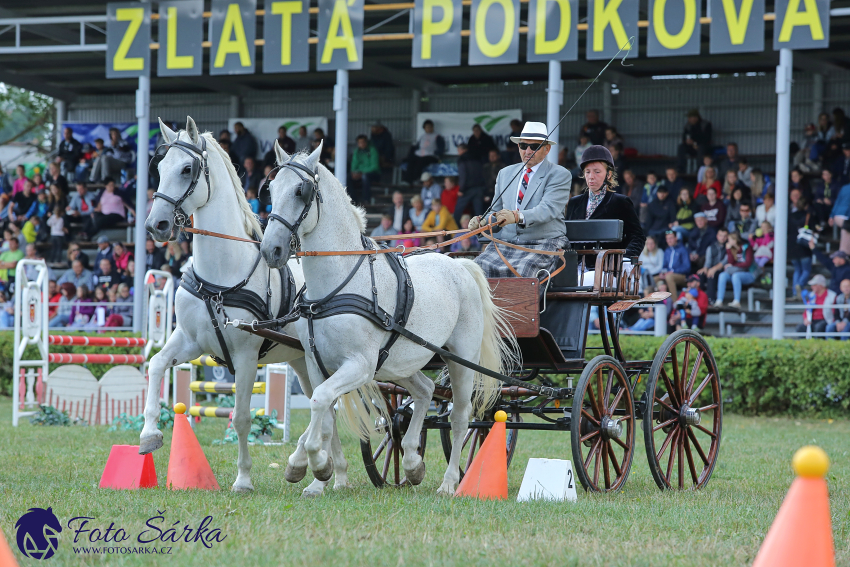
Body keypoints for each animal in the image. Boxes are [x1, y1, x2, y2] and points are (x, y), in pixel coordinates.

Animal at [142, 116, 352, 496]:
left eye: (186, 168)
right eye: (160, 168)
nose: (157, 225)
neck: (221, 278)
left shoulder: (245, 357)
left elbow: (240, 418)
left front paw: (243, 479)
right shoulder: (189, 341)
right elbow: (156, 364)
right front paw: (149, 433)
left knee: (327, 406)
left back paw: (315, 468)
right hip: (304, 362)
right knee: (326, 406)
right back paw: (331, 475)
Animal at [258, 143, 516, 496]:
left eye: (301, 191)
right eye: (270, 189)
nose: (271, 250)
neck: (338, 286)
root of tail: (460, 264)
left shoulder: (360, 365)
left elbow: (320, 400)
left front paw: (311, 463)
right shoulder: (316, 363)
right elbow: (323, 412)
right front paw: (315, 474)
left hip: (460, 358)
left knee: (460, 418)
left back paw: (449, 483)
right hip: (399, 362)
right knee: (423, 391)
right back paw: (411, 463)